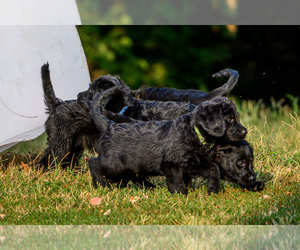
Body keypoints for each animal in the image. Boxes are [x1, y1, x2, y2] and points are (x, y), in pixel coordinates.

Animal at [88, 94, 247, 195]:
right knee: (93, 162)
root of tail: (109, 125)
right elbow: (177, 183)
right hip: (114, 165)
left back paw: (150, 187)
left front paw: (212, 189)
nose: (245, 131)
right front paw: (180, 196)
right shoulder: (172, 164)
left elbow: (213, 169)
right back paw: (100, 185)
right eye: (230, 119)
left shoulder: (193, 163)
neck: (194, 131)